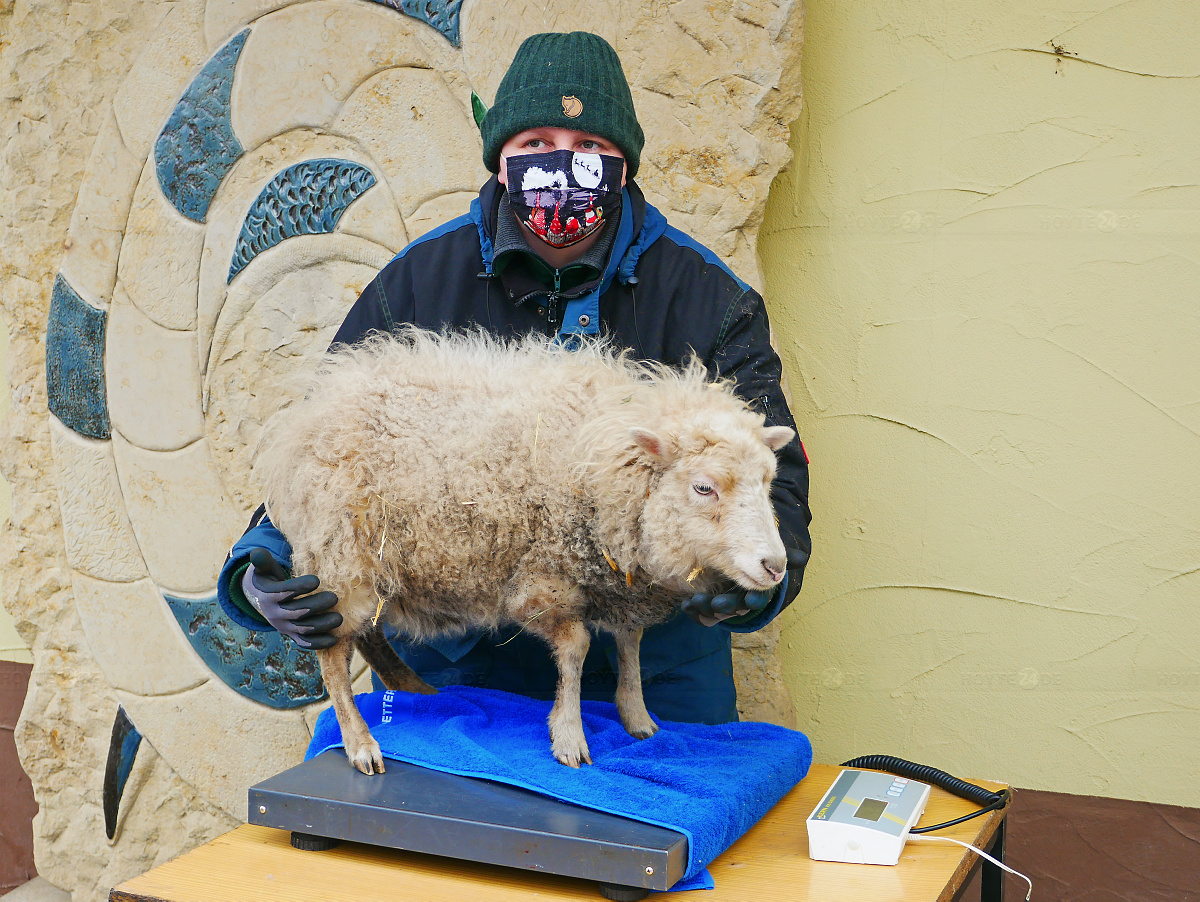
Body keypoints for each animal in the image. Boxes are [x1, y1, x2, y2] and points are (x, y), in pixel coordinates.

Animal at [258, 331, 792, 777]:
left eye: (768, 480)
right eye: (704, 487)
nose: (776, 567)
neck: (601, 466)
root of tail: (308, 416)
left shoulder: (621, 580)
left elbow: (630, 643)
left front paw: (635, 714)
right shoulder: (544, 580)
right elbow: (575, 650)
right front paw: (570, 736)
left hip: (370, 565)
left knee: (368, 633)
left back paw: (414, 690)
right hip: (340, 558)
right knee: (333, 654)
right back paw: (360, 744)